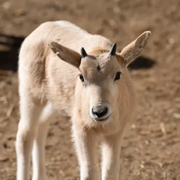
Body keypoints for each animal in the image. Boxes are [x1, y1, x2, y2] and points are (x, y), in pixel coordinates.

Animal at [15, 20, 151, 179]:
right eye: (81, 77)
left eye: (118, 74)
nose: (99, 111)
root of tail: (41, 29)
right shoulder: (82, 129)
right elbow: (90, 172)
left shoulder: (116, 132)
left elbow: (110, 171)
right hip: (30, 94)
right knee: (25, 135)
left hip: (55, 102)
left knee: (41, 126)